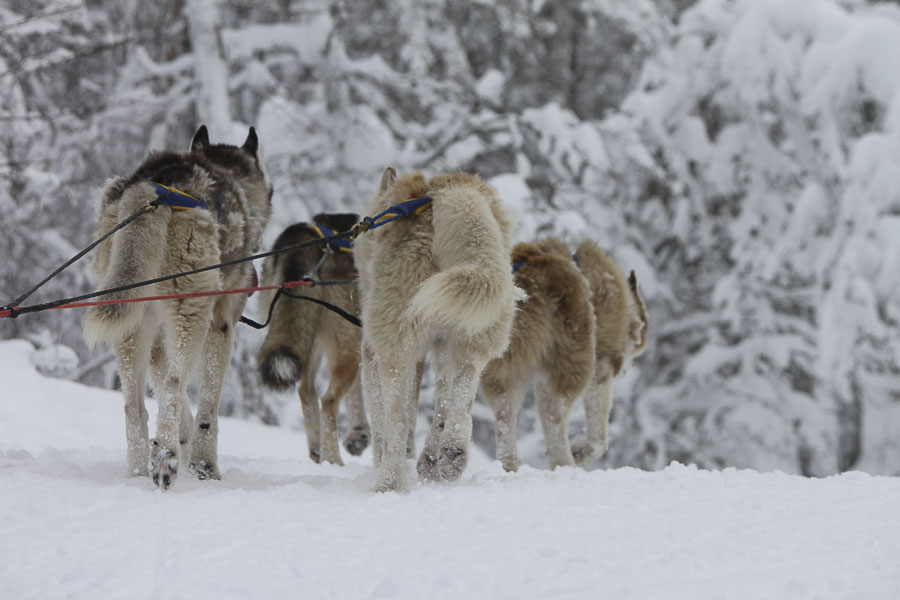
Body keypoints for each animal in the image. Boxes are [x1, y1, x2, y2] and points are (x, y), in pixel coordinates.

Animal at [85, 125, 274, 488]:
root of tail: (153, 184)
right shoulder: (220, 326)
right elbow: (206, 408)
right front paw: (203, 464)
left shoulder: (158, 338)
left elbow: (163, 384)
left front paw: (179, 440)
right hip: (192, 312)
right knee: (174, 385)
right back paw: (166, 459)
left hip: (132, 316)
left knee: (134, 406)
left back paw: (139, 471)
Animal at [256, 213, 372, 466]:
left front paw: (359, 435)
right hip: (344, 341)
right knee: (328, 401)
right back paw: (333, 461)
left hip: (310, 341)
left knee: (307, 392)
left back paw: (318, 453)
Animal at [354, 168, 516, 492]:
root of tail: (448, 193)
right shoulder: (440, 345)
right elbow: (443, 397)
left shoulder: (373, 353)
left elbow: (383, 424)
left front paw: (381, 463)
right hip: (474, 333)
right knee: (462, 390)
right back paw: (450, 451)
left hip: (395, 346)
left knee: (397, 418)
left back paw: (390, 482)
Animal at [478, 237, 596, 472]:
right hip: (570, 360)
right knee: (554, 413)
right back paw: (564, 463)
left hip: (504, 367)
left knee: (504, 413)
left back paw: (509, 464)